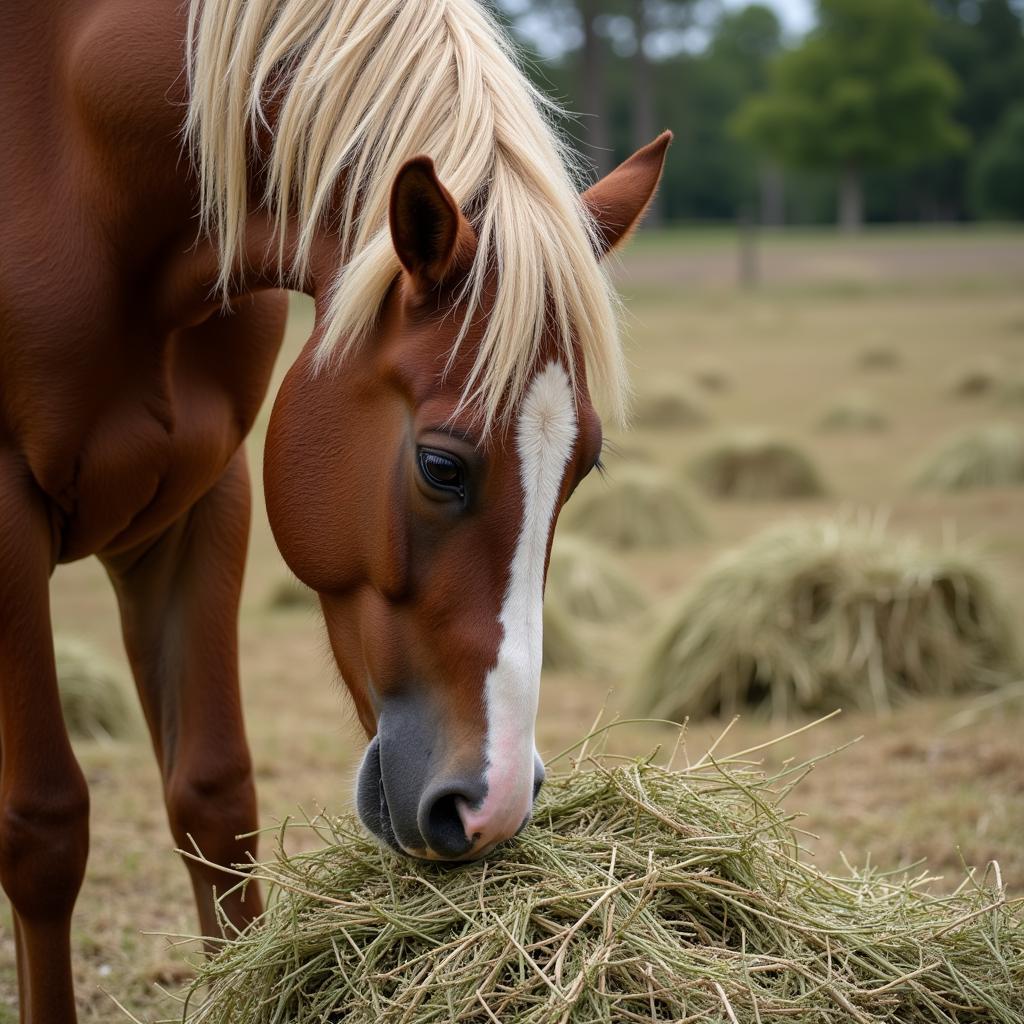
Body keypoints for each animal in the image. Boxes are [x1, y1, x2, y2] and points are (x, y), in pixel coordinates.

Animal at [0, 0, 667, 1015]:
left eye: (582, 469)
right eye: (440, 466)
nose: (494, 805)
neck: (79, 148)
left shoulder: (203, 502)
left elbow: (214, 799)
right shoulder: (2, 512)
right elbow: (44, 828)